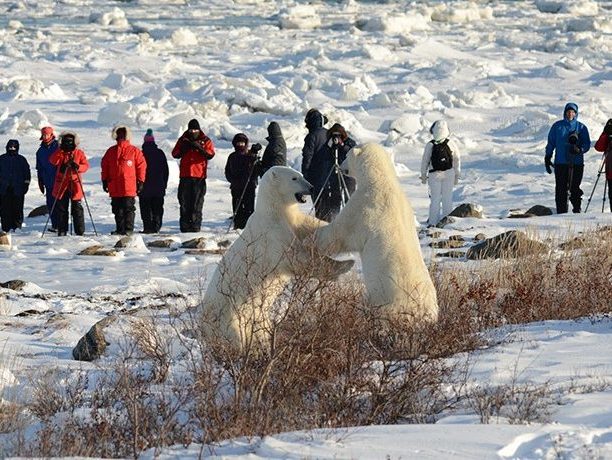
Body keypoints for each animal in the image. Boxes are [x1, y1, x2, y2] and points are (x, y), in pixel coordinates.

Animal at [201, 167, 354, 350]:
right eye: (294, 178)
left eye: (301, 175)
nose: (311, 188)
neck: (273, 210)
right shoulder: (272, 233)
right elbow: (294, 258)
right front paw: (345, 265)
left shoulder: (293, 221)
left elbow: (311, 226)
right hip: (228, 317)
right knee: (235, 338)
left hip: (256, 317)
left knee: (260, 332)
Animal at [316, 142, 440, 322]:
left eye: (346, 155)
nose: (341, 166)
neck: (380, 178)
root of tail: (424, 312)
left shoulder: (364, 206)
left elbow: (340, 233)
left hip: (392, 303)